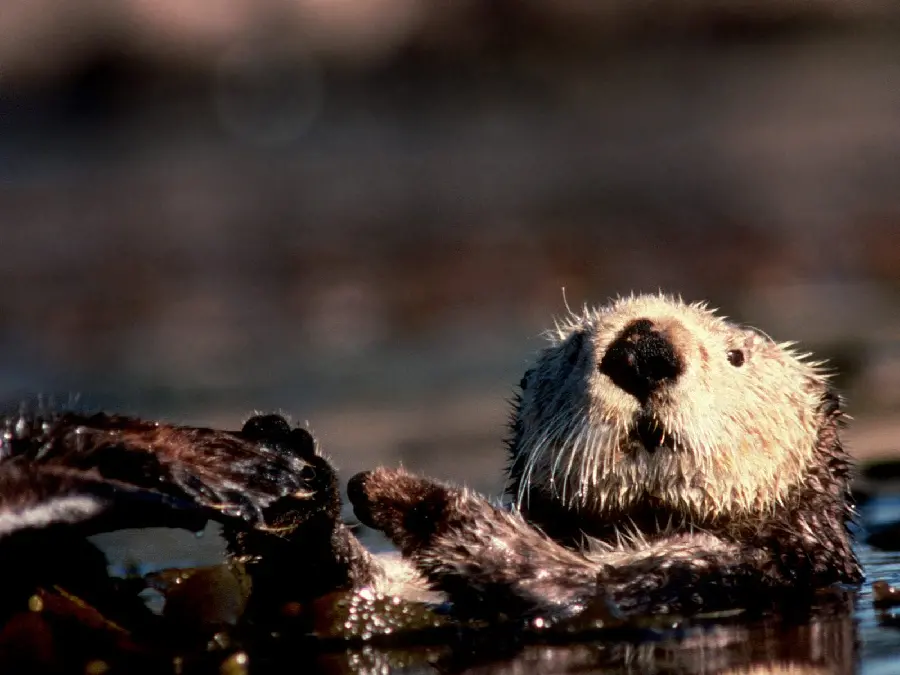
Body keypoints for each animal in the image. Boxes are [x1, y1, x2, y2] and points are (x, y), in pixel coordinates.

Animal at [346, 296, 864, 624]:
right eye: (574, 348)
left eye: (736, 356)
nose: (644, 349)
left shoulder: (727, 572)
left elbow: (565, 582)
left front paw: (396, 493)